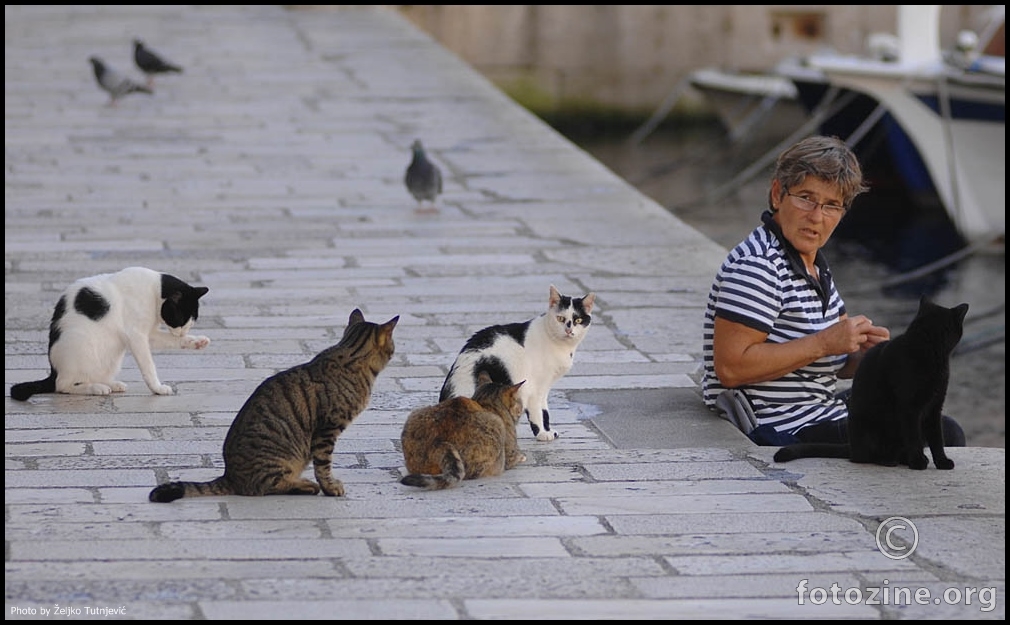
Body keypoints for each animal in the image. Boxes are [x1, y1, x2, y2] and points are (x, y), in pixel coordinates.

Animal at [8, 264, 210, 401]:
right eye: (182, 320)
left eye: (191, 322)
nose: (183, 332)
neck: (154, 291)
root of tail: (54, 370)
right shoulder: (136, 336)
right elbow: (148, 366)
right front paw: (157, 388)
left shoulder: (149, 334)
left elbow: (169, 340)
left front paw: (195, 342)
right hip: (80, 345)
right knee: (63, 385)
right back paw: (95, 388)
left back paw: (110, 383)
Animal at [147, 308, 395, 502]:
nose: (395, 349)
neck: (350, 354)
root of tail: (229, 475)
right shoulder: (327, 430)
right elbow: (324, 466)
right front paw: (330, 487)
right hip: (279, 459)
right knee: (267, 486)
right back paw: (305, 485)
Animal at [401, 371, 529, 488]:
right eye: (520, 403)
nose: (522, 409)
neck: (486, 403)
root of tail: (437, 443)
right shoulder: (510, 454)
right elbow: (517, 456)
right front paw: (523, 456)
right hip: (495, 428)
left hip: (415, 414)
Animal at [438, 286, 593, 442]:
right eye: (560, 318)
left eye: (578, 320)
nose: (568, 330)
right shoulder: (533, 387)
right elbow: (537, 412)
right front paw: (542, 433)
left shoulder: (544, 386)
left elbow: (545, 411)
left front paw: (548, 430)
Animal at [771, 296, 969, 468]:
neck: (928, 350)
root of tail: (851, 446)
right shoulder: (910, 408)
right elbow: (913, 437)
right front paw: (918, 462)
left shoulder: (934, 407)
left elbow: (937, 439)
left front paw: (942, 462)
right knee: (865, 457)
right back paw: (890, 460)